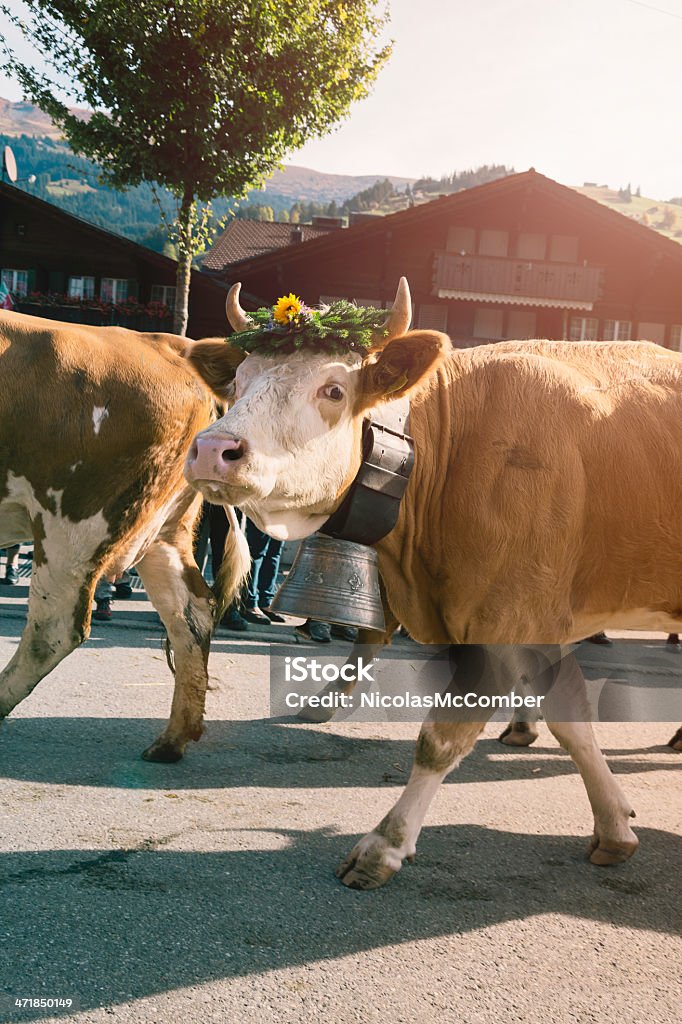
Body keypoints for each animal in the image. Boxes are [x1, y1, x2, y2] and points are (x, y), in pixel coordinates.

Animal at [0, 307, 248, 765]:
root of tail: (172, 345)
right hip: (163, 530)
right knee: (191, 616)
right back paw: (172, 740)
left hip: (74, 521)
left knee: (54, 628)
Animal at [180, 278, 679, 888]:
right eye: (239, 381)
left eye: (333, 390)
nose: (212, 450)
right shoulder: (522, 614)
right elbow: (571, 715)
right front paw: (614, 825)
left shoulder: (506, 612)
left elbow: (441, 738)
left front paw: (384, 844)